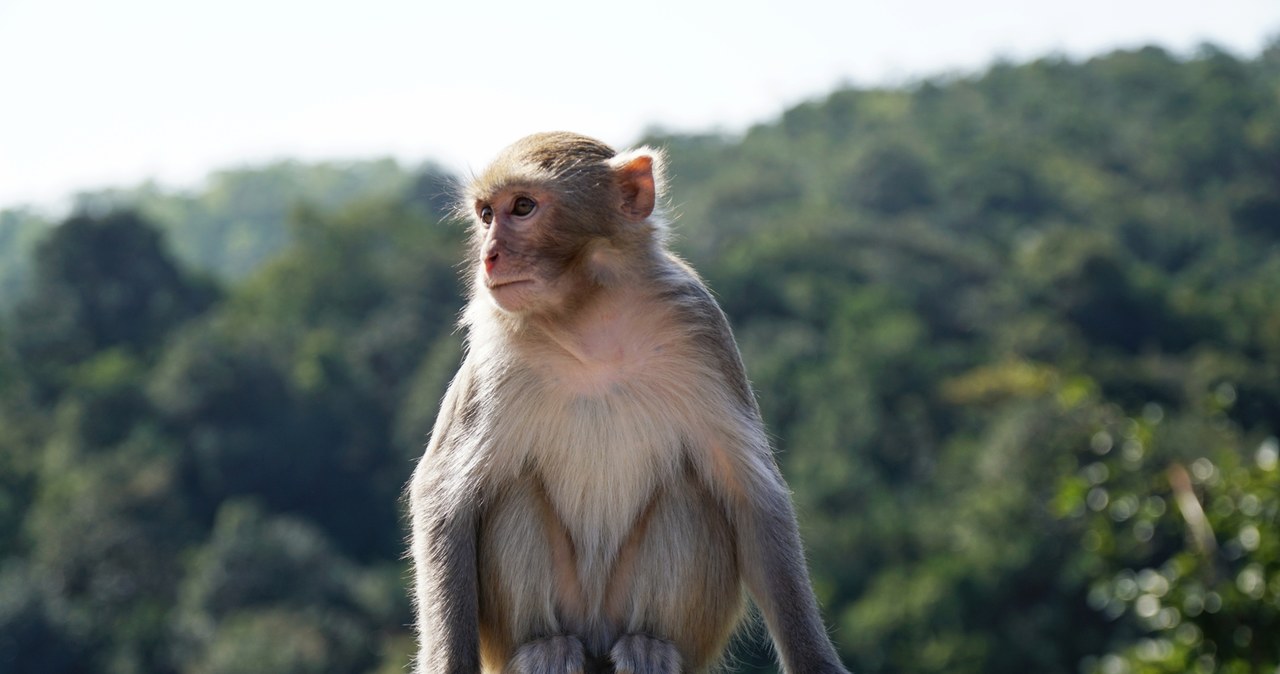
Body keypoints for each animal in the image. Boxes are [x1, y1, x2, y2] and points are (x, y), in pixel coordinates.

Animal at [412, 131, 849, 674]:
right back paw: (545, 644)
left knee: (687, 492)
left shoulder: (700, 326)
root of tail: (597, 640)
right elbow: (443, 496)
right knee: (516, 493)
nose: (489, 257)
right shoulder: (495, 356)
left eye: (523, 206)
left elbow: (752, 492)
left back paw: (648, 642)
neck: (590, 318)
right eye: (487, 214)